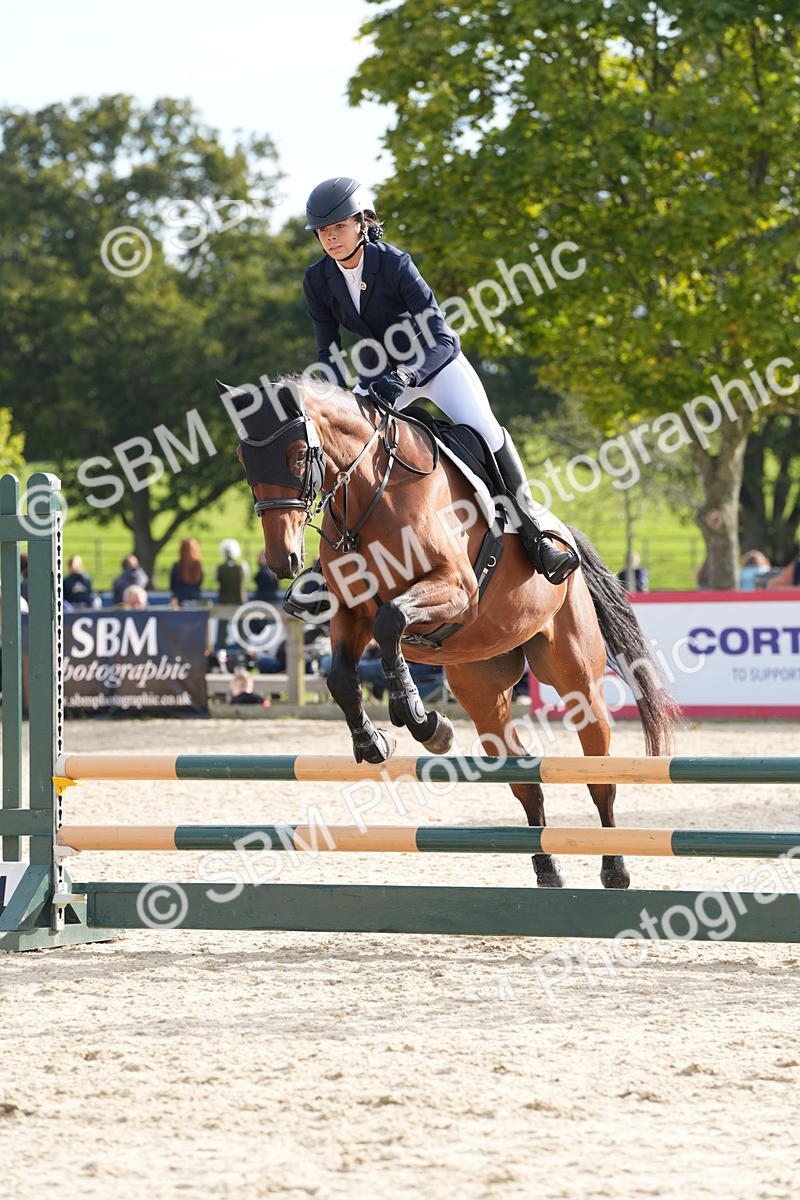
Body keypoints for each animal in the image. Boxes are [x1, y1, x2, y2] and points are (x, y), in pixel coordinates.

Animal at [222, 375, 678, 890]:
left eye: (299, 454)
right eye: (243, 457)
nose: (281, 560)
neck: (373, 495)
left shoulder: (455, 589)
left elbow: (391, 621)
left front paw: (415, 713)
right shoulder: (349, 612)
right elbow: (341, 676)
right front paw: (382, 739)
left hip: (575, 676)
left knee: (599, 769)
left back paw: (614, 866)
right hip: (481, 686)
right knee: (522, 776)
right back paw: (547, 869)